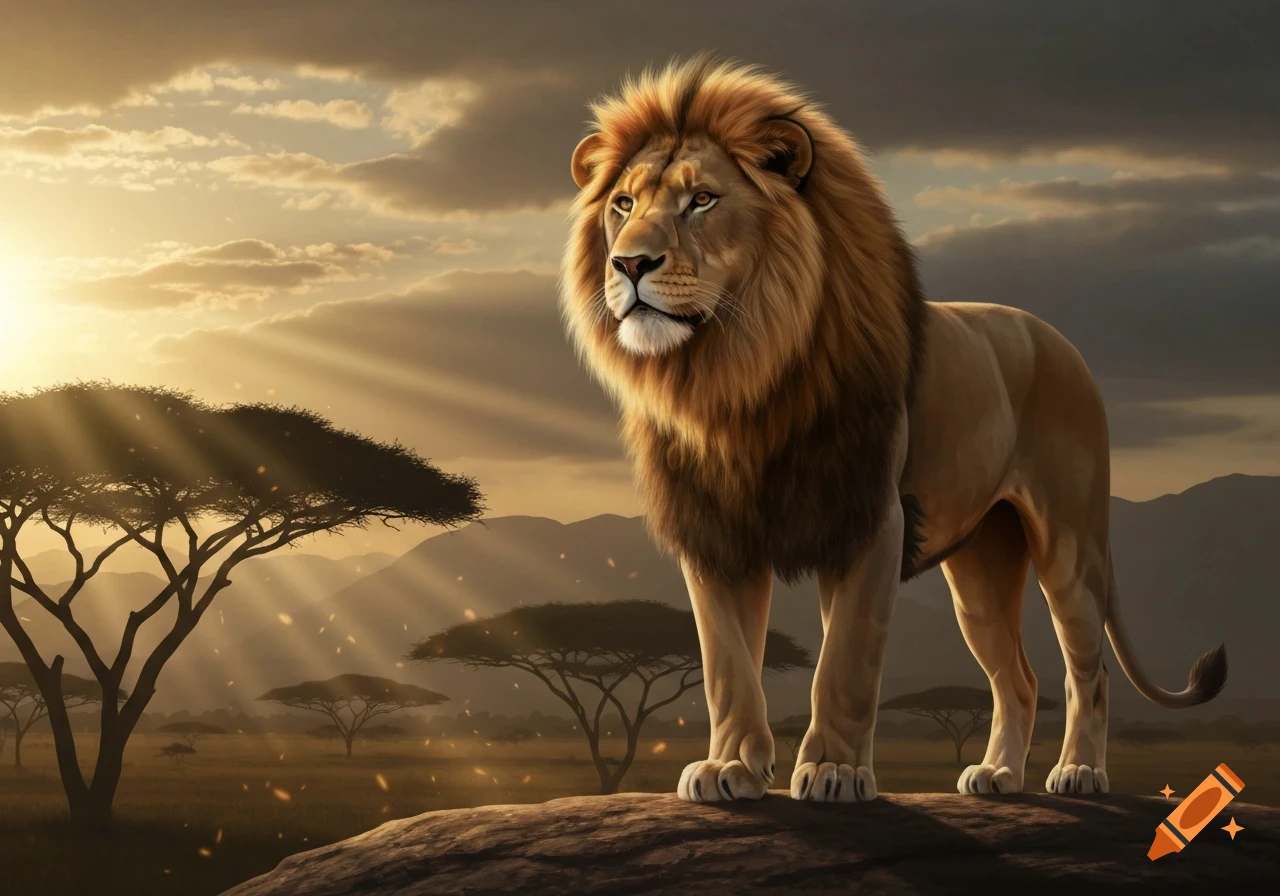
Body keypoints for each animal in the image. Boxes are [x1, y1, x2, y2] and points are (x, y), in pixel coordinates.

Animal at [559, 55, 1227, 803]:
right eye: (623, 205)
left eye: (701, 200)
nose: (628, 264)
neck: (737, 378)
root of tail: (1058, 340)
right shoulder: (716, 534)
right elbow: (728, 667)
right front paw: (731, 768)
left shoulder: (870, 517)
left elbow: (844, 662)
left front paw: (835, 771)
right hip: (981, 568)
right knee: (1018, 679)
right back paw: (998, 774)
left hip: (1070, 545)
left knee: (1090, 670)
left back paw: (1080, 771)